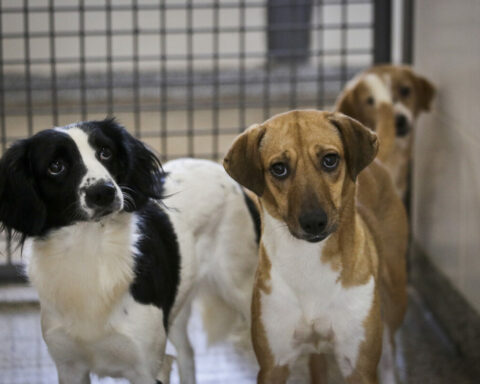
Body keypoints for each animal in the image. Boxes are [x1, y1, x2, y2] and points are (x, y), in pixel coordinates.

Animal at [0, 118, 258, 382]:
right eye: (56, 166)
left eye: (106, 152)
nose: (103, 192)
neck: (91, 252)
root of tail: (224, 172)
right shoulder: (69, 367)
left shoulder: (146, 367)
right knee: (187, 352)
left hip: (241, 288)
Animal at [223, 109, 406, 382]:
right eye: (279, 168)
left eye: (330, 160)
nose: (313, 222)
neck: (309, 262)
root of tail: (379, 164)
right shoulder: (273, 365)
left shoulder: (358, 366)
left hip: (395, 295)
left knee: (390, 351)